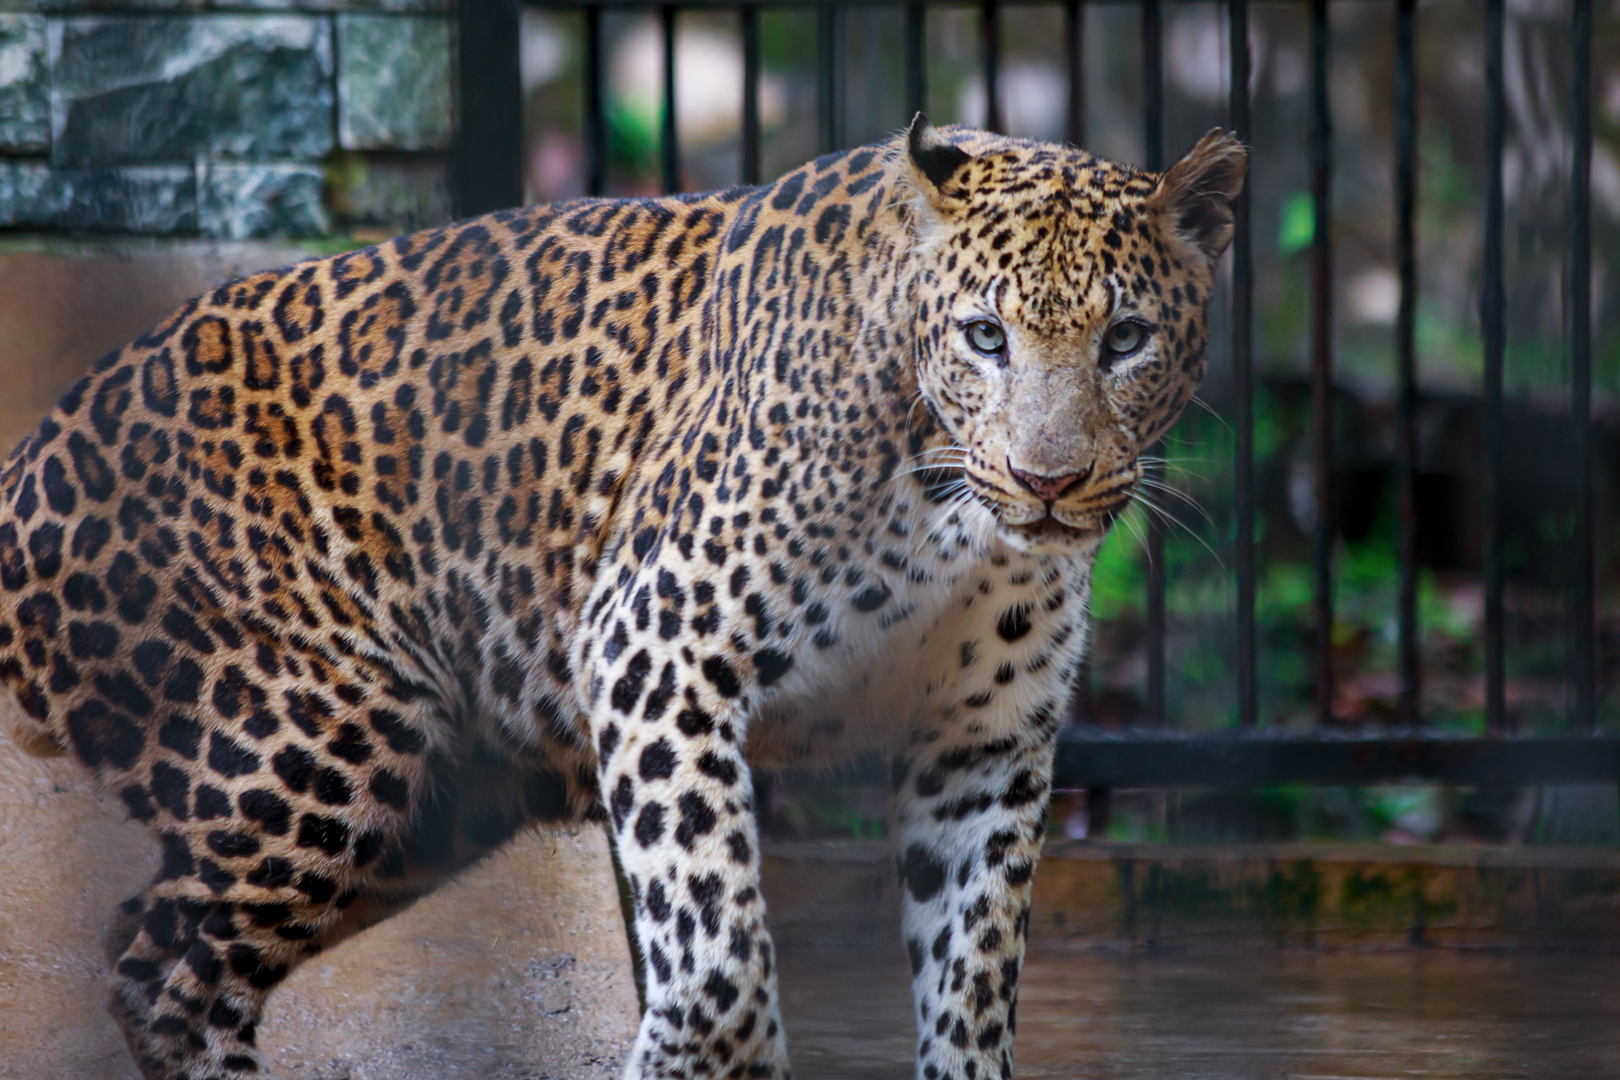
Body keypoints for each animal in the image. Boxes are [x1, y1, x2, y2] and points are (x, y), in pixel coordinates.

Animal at [0, 114, 1244, 1080]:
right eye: (986, 337)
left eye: (1126, 339)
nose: (1049, 480)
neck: (956, 522)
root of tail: (27, 465)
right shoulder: (658, 645)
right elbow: (720, 960)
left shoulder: (980, 746)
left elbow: (971, 986)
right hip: (324, 740)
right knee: (161, 958)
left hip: (433, 799)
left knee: (177, 961)